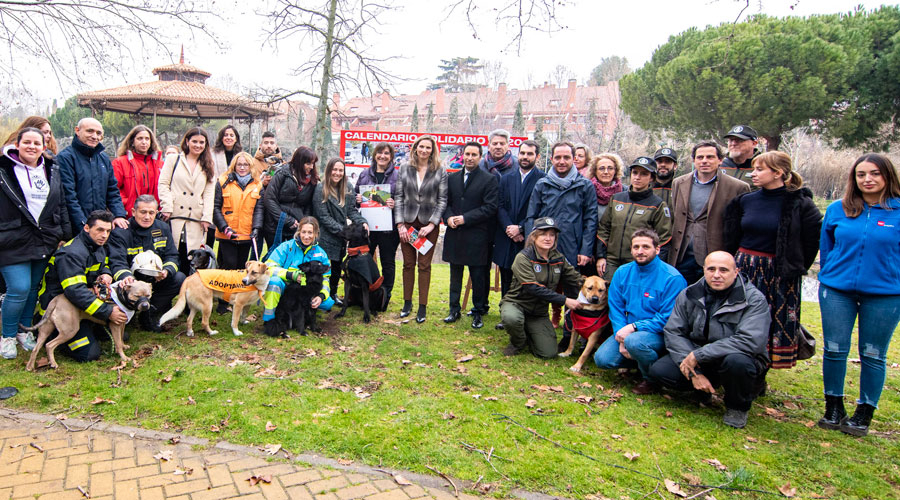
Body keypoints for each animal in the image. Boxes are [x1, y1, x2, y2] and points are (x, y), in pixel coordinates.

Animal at [24, 282, 153, 372]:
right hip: (69, 331)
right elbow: (117, 343)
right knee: (50, 345)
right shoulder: (115, 325)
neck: (122, 297)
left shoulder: (120, 325)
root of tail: (56, 301)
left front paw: (123, 346)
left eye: (148, 295)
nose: (145, 305)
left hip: (46, 330)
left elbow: (120, 339)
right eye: (136, 296)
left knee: (36, 348)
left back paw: (30, 366)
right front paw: (124, 357)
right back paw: (53, 363)